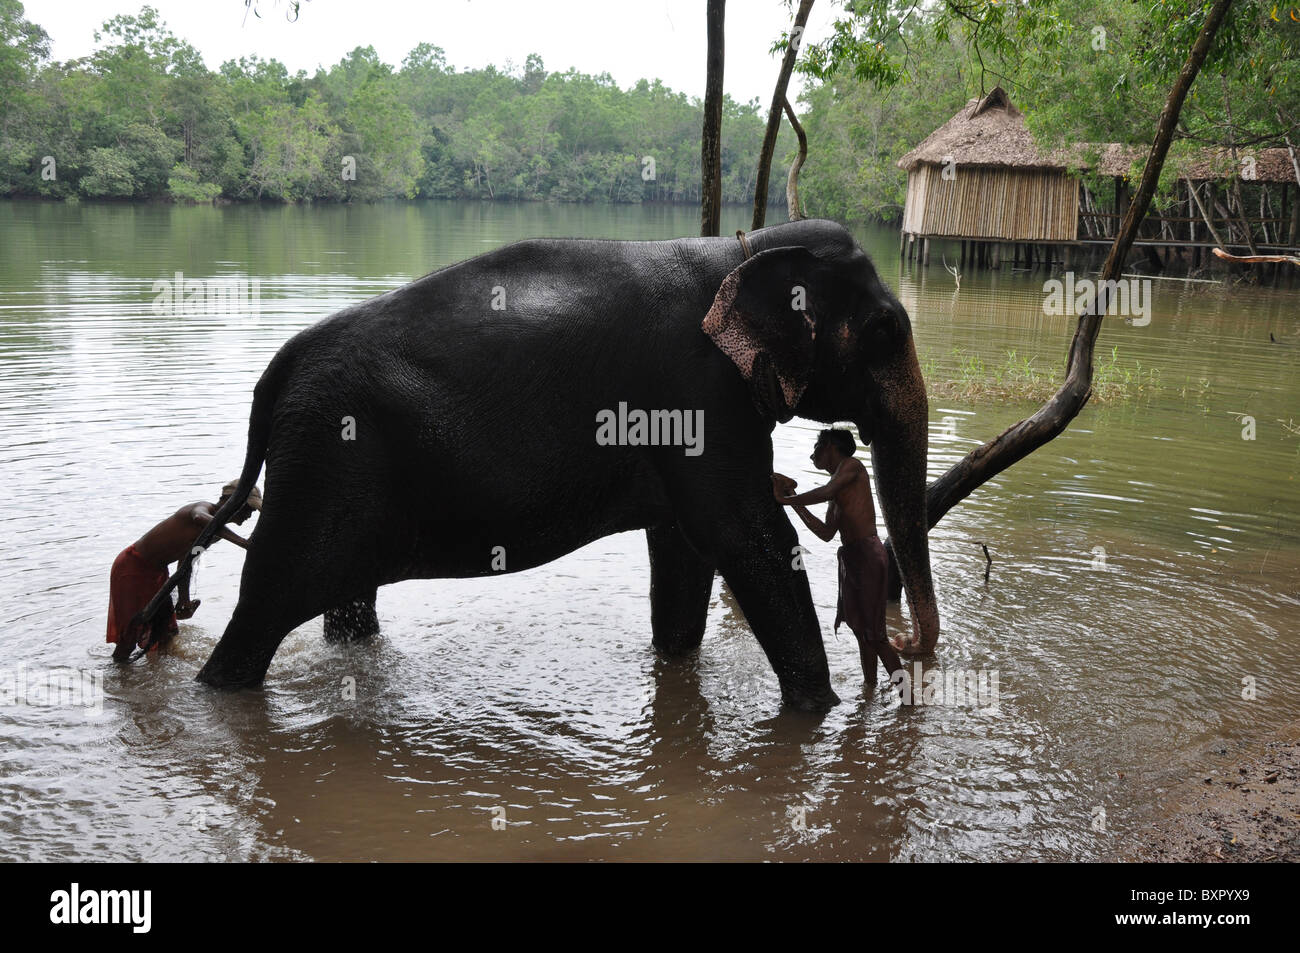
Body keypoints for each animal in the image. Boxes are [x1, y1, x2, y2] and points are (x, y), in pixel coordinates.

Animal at [139, 215, 935, 707]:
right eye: (886, 330)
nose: (912, 654)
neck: (740, 249)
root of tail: (278, 370)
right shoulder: (698, 393)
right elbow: (750, 538)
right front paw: (821, 710)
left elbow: (685, 547)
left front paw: (677, 663)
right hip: (325, 457)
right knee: (267, 601)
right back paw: (215, 690)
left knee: (342, 600)